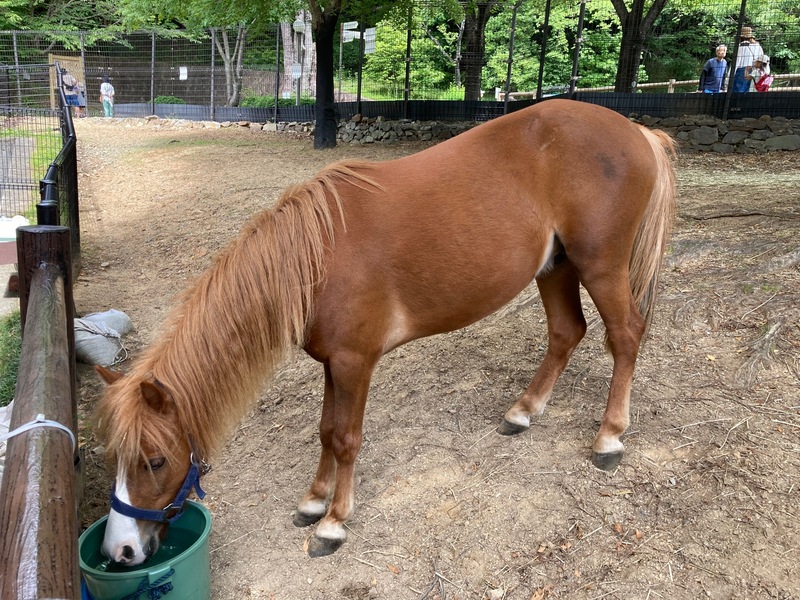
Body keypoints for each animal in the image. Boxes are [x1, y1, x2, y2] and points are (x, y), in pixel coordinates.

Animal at [97, 98, 680, 564]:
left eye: (154, 460)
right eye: (112, 459)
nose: (120, 550)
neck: (317, 256)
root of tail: (636, 130)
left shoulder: (355, 362)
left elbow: (346, 438)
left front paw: (333, 523)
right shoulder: (333, 362)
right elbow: (325, 430)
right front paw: (313, 501)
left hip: (600, 265)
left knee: (625, 336)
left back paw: (609, 437)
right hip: (555, 266)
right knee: (565, 332)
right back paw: (523, 411)